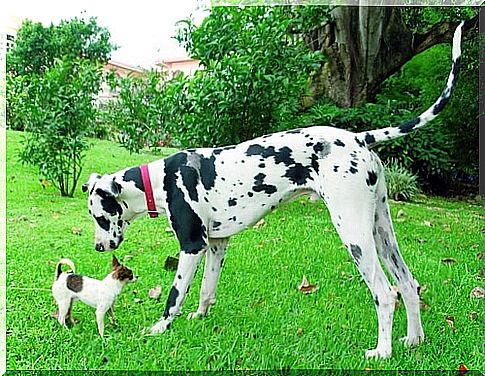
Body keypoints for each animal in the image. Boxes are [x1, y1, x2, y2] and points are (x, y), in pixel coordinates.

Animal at [82, 22, 462, 358]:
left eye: (98, 216)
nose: (98, 247)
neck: (160, 179)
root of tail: (358, 137)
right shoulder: (217, 244)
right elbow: (206, 290)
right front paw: (200, 317)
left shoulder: (191, 246)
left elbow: (175, 295)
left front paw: (160, 328)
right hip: (382, 233)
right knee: (408, 285)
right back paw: (413, 340)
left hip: (355, 236)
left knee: (385, 293)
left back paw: (382, 352)